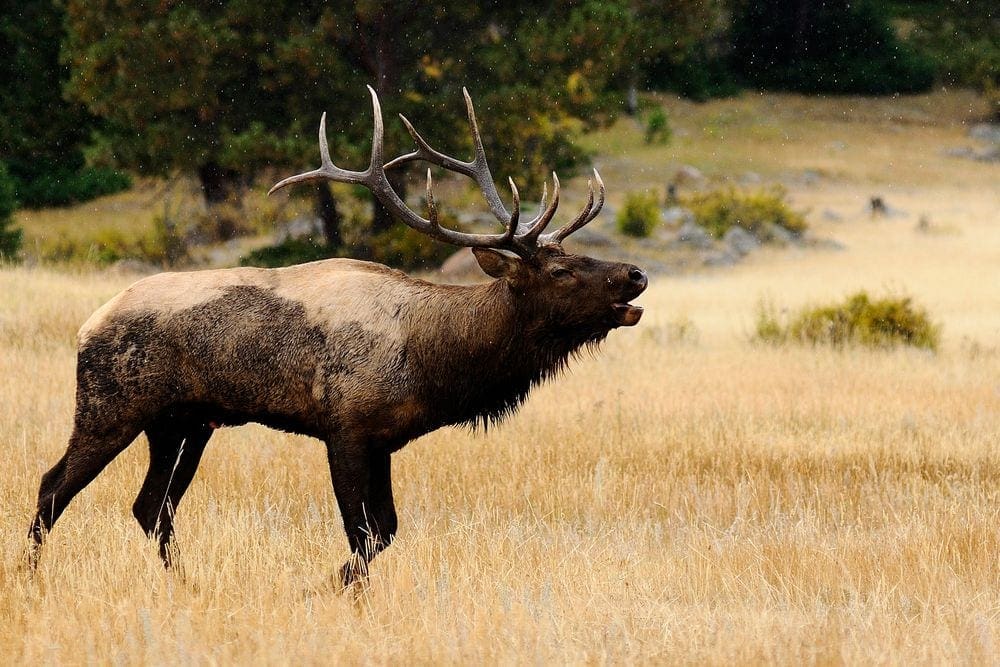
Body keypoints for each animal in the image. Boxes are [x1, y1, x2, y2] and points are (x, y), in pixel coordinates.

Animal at [27, 87, 648, 588]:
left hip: (183, 423)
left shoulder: (385, 440)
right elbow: (364, 533)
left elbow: (388, 530)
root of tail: (87, 326)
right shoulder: (345, 427)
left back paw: (187, 584)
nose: (635, 274)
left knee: (151, 506)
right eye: (560, 271)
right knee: (54, 486)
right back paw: (30, 579)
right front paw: (324, 589)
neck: (431, 363)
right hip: (111, 405)